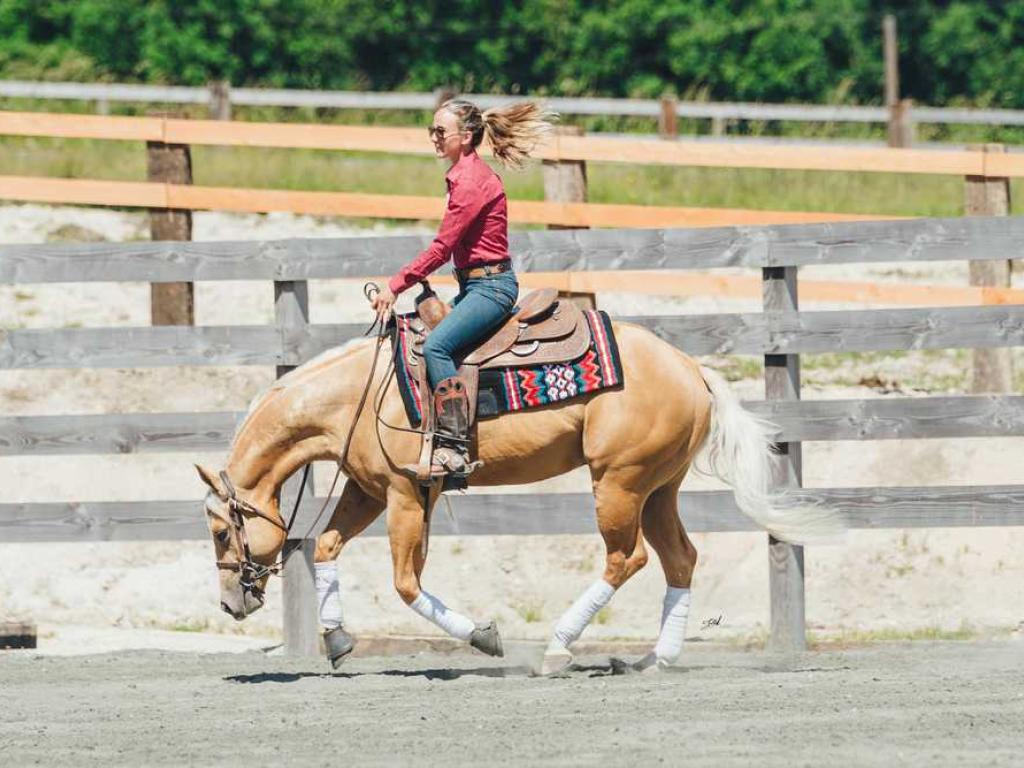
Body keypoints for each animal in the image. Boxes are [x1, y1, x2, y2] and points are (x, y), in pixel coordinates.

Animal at [195, 319, 843, 671]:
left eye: (222, 530)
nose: (230, 603)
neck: (357, 393)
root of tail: (690, 367)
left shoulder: (406, 497)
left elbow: (406, 584)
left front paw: (484, 637)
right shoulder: (368, 490)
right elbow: (328, 547)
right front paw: (335, 639)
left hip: (619, 482)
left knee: (626, 557)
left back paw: (557, 649)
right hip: (660, 487)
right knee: (678, 559)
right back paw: (655, 659)